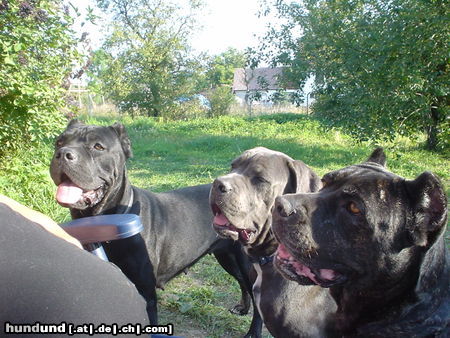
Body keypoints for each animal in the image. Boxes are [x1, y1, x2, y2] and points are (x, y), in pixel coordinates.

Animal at [51, 121, 253, 324]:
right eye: (59, 142)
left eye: (98, 146)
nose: (63, 153)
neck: (104, 223)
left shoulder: (145, 294)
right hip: (227, 255)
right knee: (242, 282)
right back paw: (242, 308)